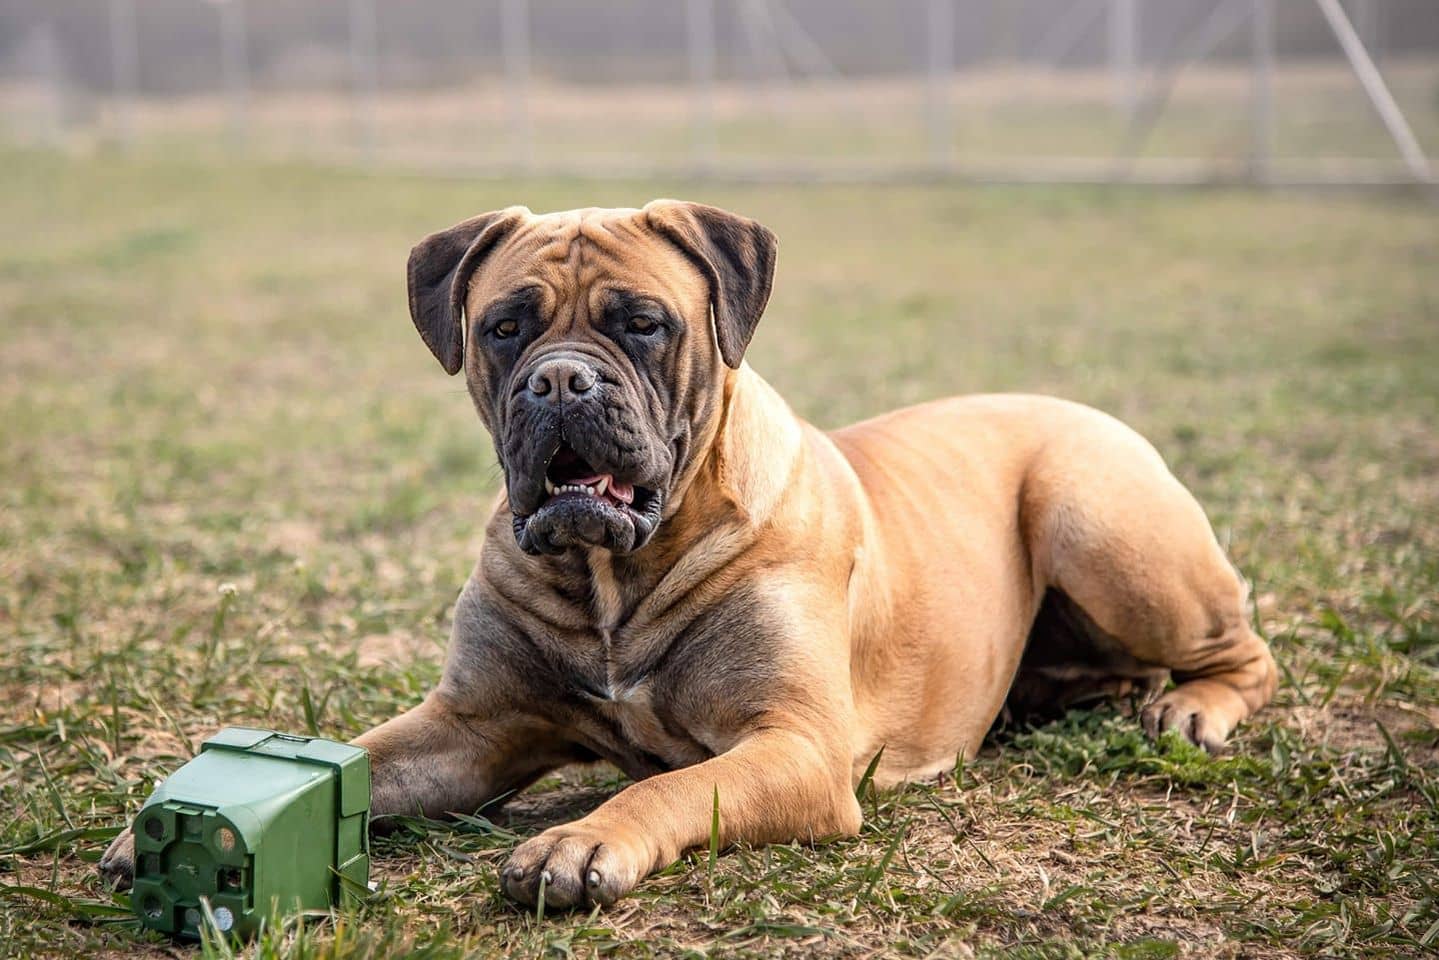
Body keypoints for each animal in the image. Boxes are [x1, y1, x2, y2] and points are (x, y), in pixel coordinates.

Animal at [101, 201, 1277, 909]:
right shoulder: (469, 729)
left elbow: (667, 789)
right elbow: (360, 759)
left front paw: (577, 841)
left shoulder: (792, 746)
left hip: (1096, 519)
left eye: (643, 323)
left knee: (1244, 648)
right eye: (503, 327)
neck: (612, 575)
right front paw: (168, 831)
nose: (561, 380)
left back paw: (1193, 710)